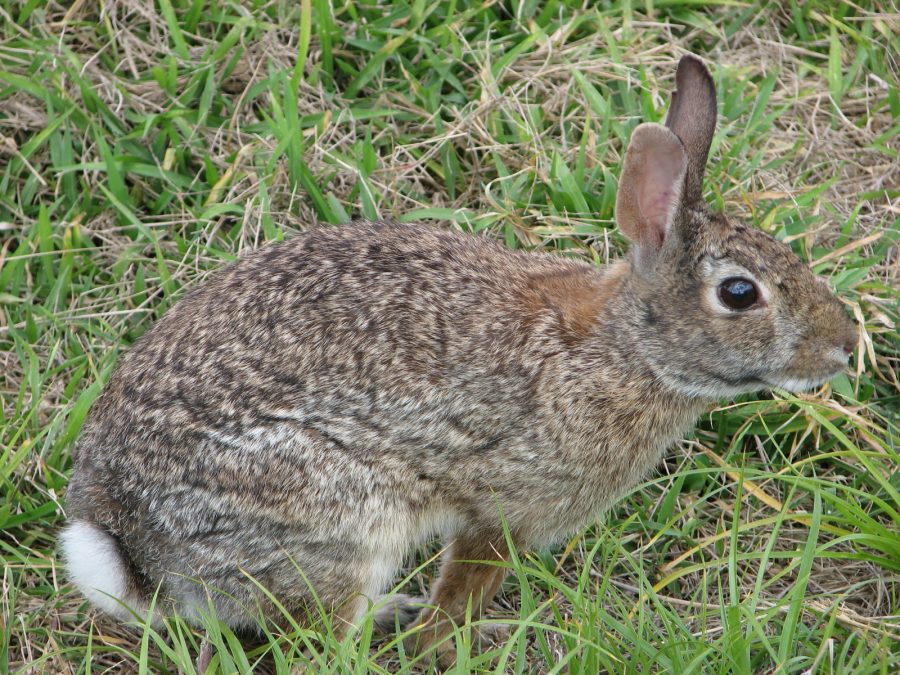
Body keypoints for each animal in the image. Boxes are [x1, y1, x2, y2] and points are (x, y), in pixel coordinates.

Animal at [59, 55, 856, 668]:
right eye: (740, 293)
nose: (845, 345)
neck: (622, 349)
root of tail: (133, 549)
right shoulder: (502, 506)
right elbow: (466, 586)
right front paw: (449, 644)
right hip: (337, 519)